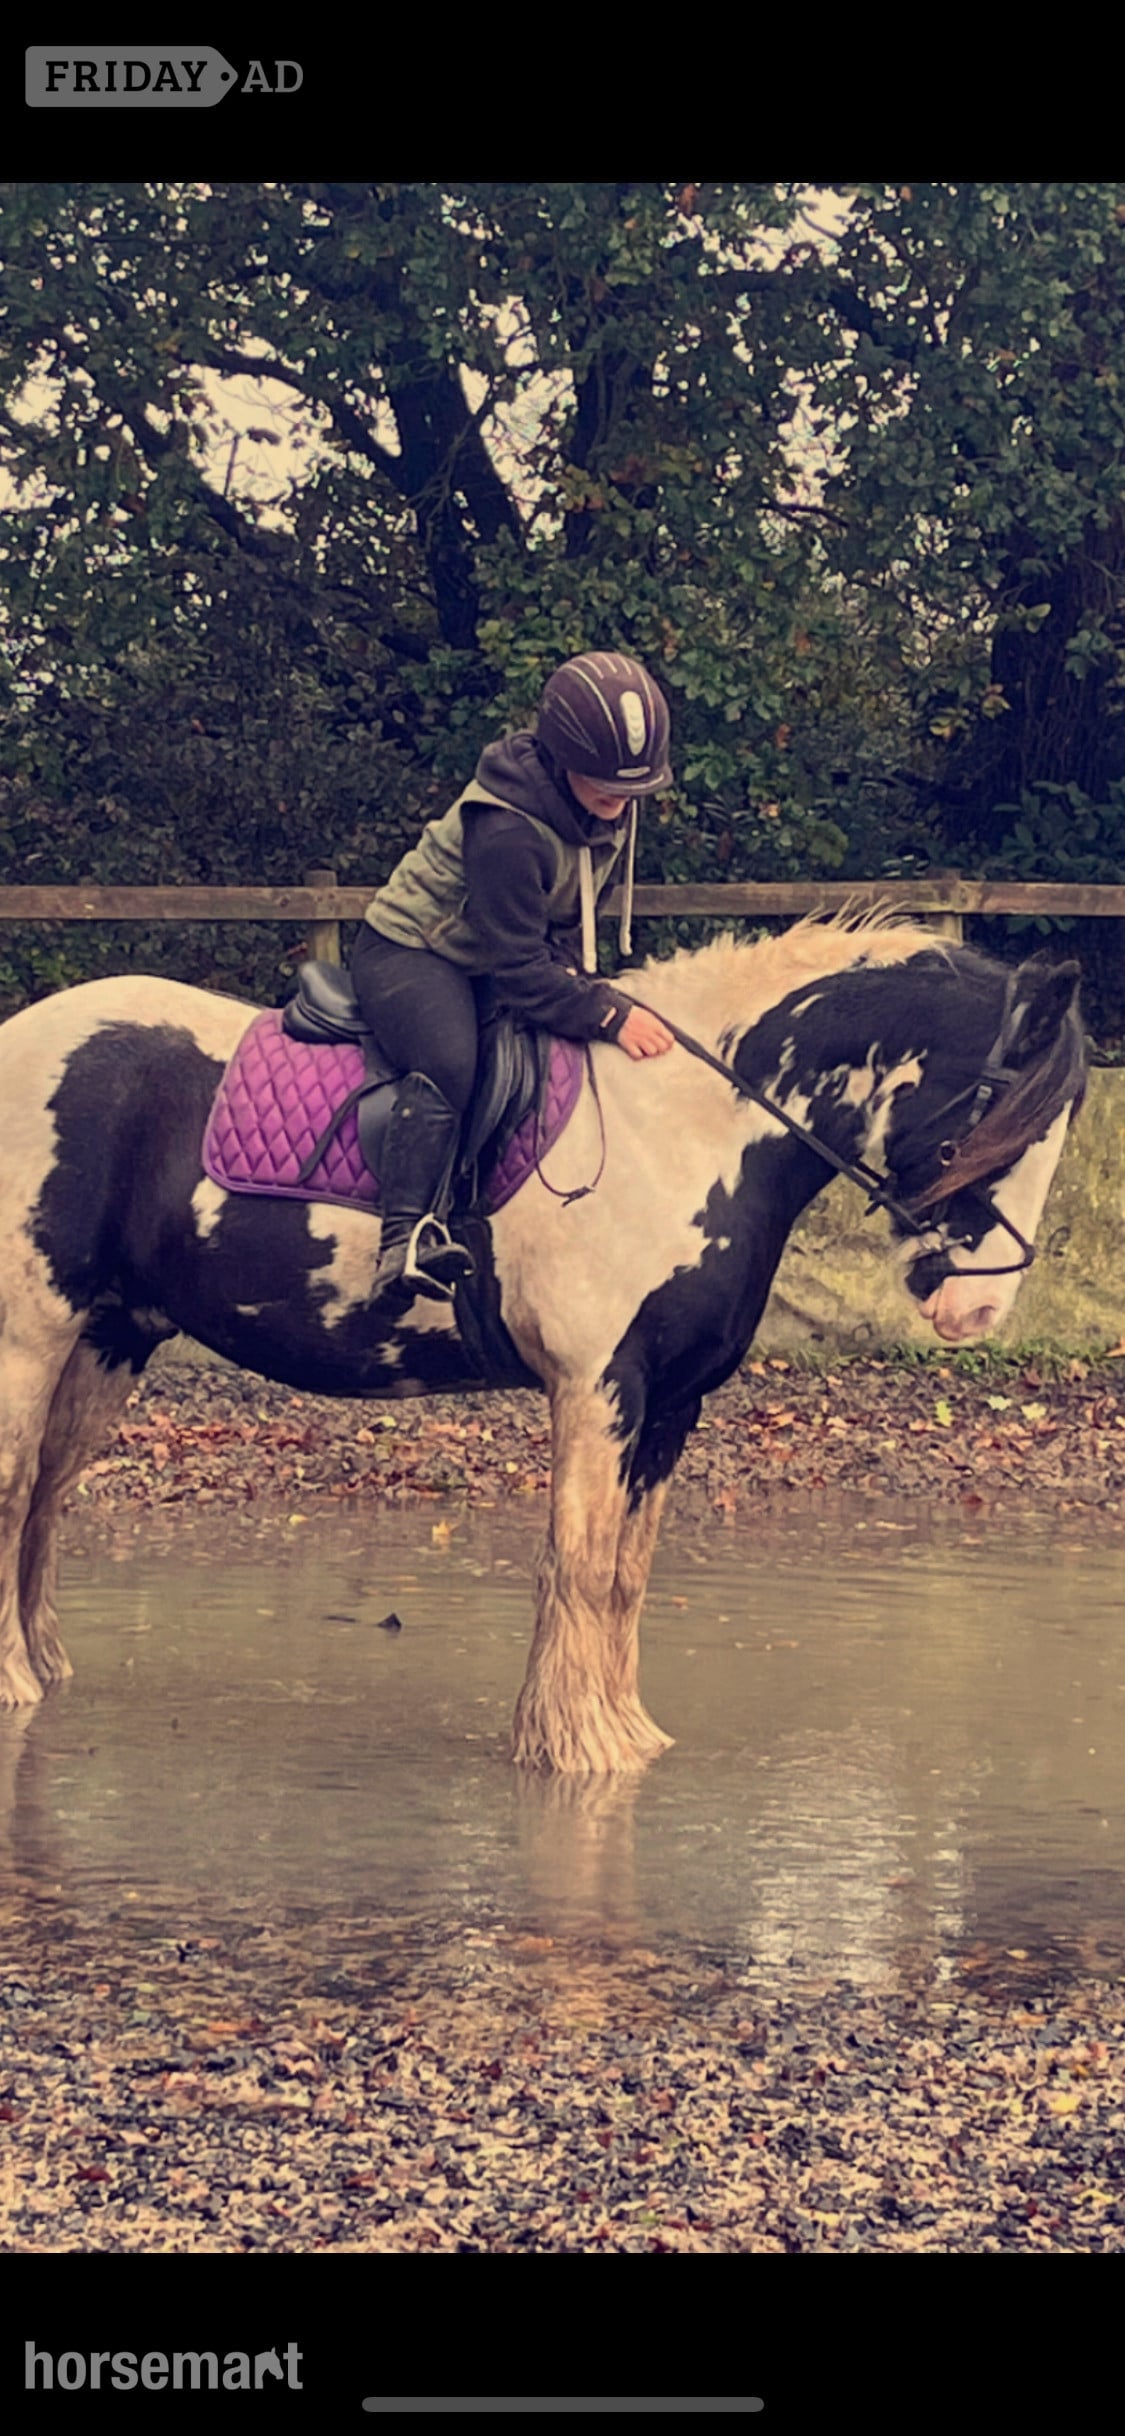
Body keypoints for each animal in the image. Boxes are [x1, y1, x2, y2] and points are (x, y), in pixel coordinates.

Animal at [0, 915, 1085, 1770]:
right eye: (1003, 1122)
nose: (979, 1313)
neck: (683, 1130)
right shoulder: (597, 1385)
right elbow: (579, 1562)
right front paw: (576, 1747)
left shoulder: (671, 1403)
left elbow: (626, 1575)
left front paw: (626, 1732)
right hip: (32, 1337)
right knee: (16, 1491)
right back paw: (16, 1681)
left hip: (108, 1342)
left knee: (48, 1497)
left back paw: (46, 1666)